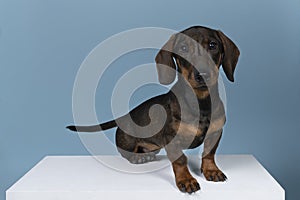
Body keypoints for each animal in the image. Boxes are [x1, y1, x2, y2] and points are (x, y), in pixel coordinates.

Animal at [67, 25, 240, 195]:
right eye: (183, 48)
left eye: (212, 45)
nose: (203, 75)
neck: (201, 102)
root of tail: (125, 116)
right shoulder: (171, 139)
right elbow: (180, 160)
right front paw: (186, 180)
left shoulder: (215, 133)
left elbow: (209, 154)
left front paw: (211, 171)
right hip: (128, 141)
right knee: (125, 152)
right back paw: (137, 158)